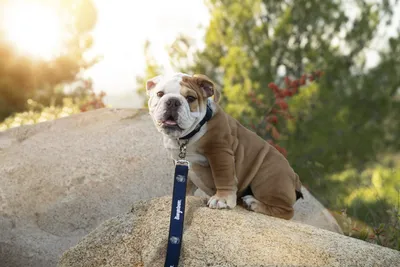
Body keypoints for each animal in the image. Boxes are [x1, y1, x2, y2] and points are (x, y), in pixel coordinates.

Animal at [147, 73, 304, 220]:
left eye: (190, 98)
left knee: (287, 211)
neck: (188, 136)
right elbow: (185, 182)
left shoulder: (220, 151)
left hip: (267, 178)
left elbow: (223, 176)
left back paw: (253, 203)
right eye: (160, 94)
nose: (173, 101)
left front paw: (221, 199)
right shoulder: (181, 162)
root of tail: (295, 177)